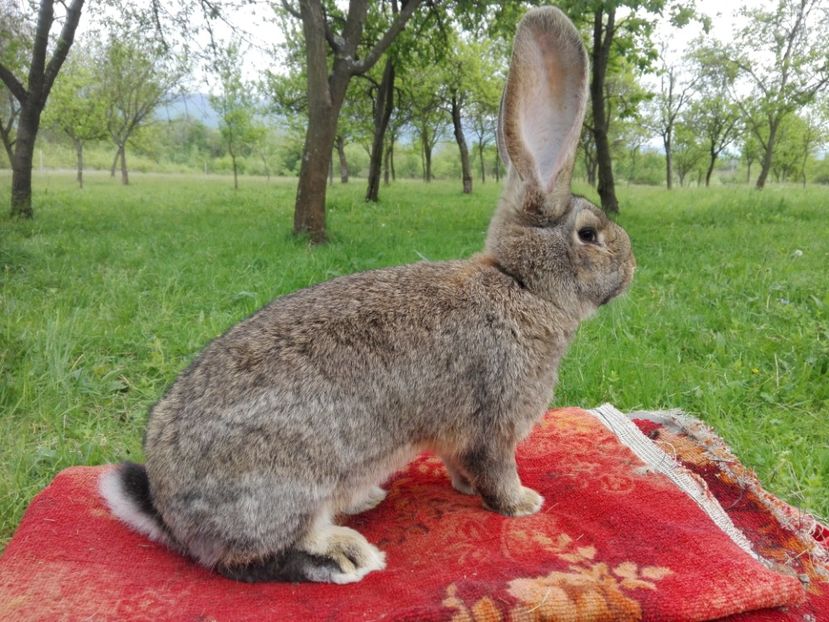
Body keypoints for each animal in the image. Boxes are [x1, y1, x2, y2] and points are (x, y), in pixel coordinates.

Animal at [100, 7, 636, 588]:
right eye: (589, 234)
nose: (631, 267)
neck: (520, 283)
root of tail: (170, 514)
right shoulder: (494, 420)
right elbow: (496, 469)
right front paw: (523, 504)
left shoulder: (461, 435)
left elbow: (460, 465)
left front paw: (467, 489)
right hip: (287, 481)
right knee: (255, 558)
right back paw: (346, 554)